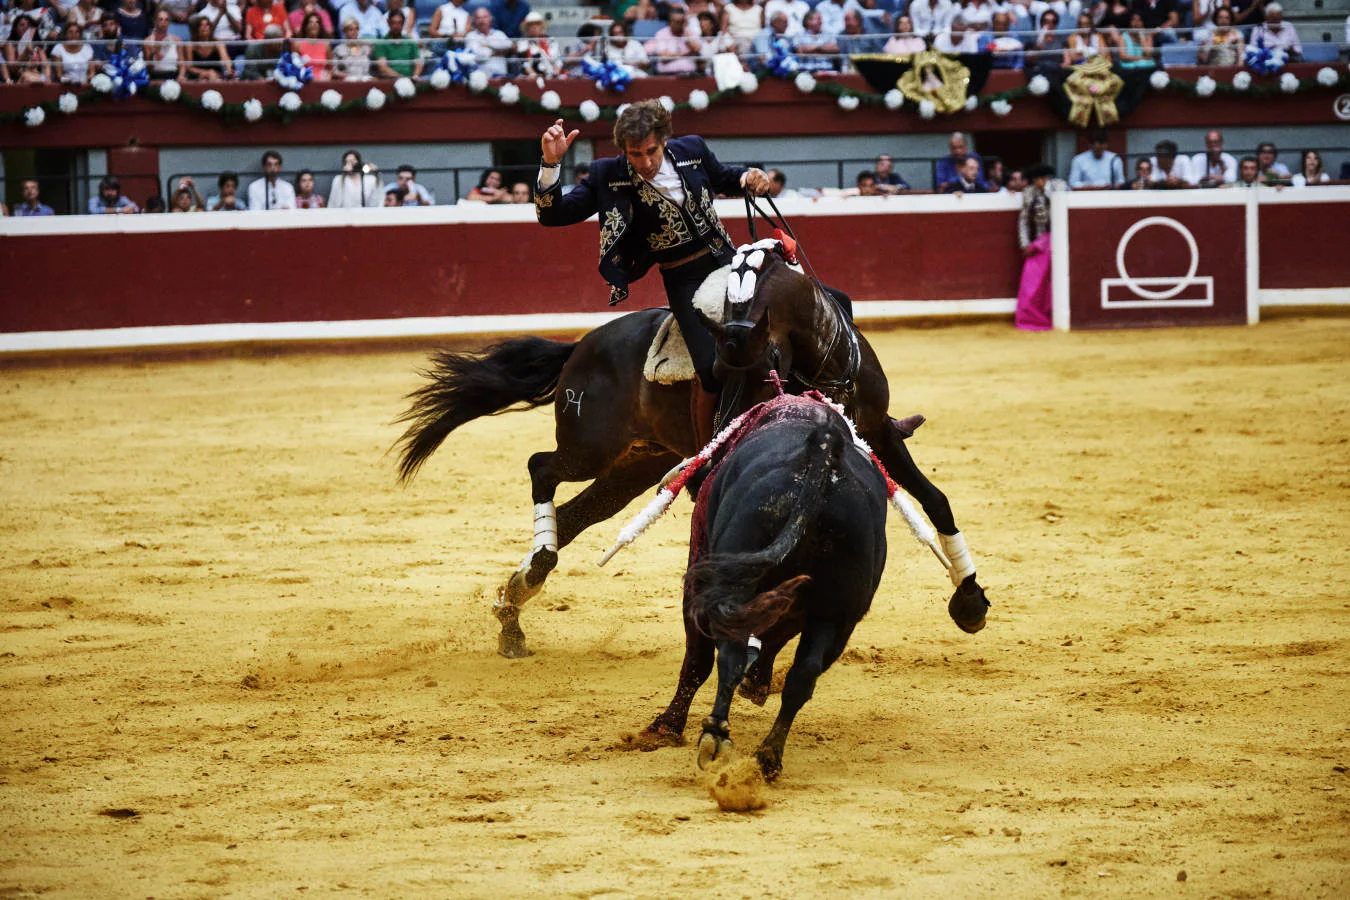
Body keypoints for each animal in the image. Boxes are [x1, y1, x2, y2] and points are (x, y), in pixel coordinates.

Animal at [394, 242, 988, 658]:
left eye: (762, 363)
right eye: (725, 369)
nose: (739, 412)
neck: (825, 361)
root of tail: (580, 347)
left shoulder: (881, 433)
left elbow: (936, 501)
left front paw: (970, 600)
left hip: (639, 463)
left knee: (574, 514)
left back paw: (515, 600)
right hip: (591, 447)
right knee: (542, 468)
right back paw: (533, 572)